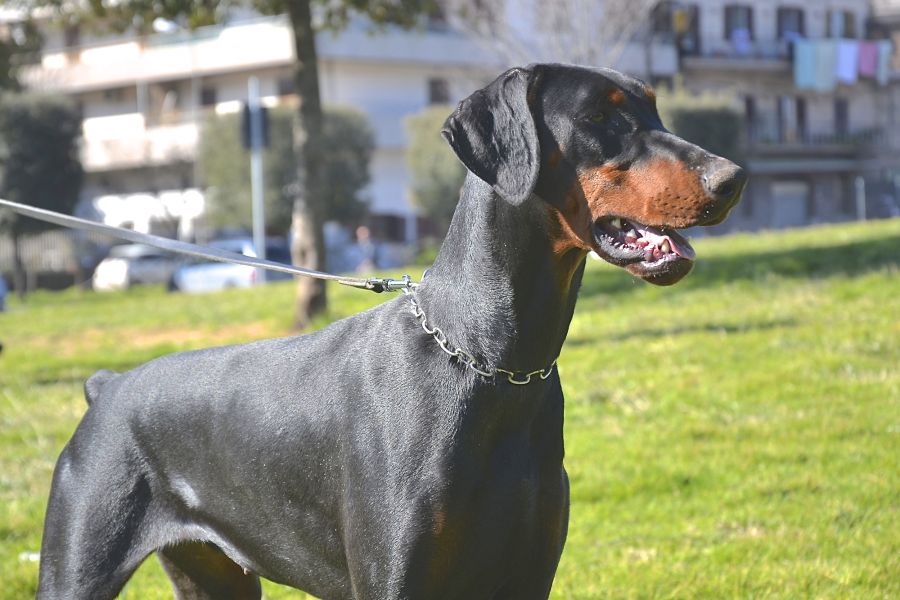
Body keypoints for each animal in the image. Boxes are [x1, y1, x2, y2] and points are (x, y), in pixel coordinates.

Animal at [38, 63, 745, 599]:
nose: (732, 178)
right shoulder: (395, 578)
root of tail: (107, 387)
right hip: (78, 566)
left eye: (656, 110)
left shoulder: (528, 572)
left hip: (216, 576)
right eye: (601, 117)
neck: (492, 361)